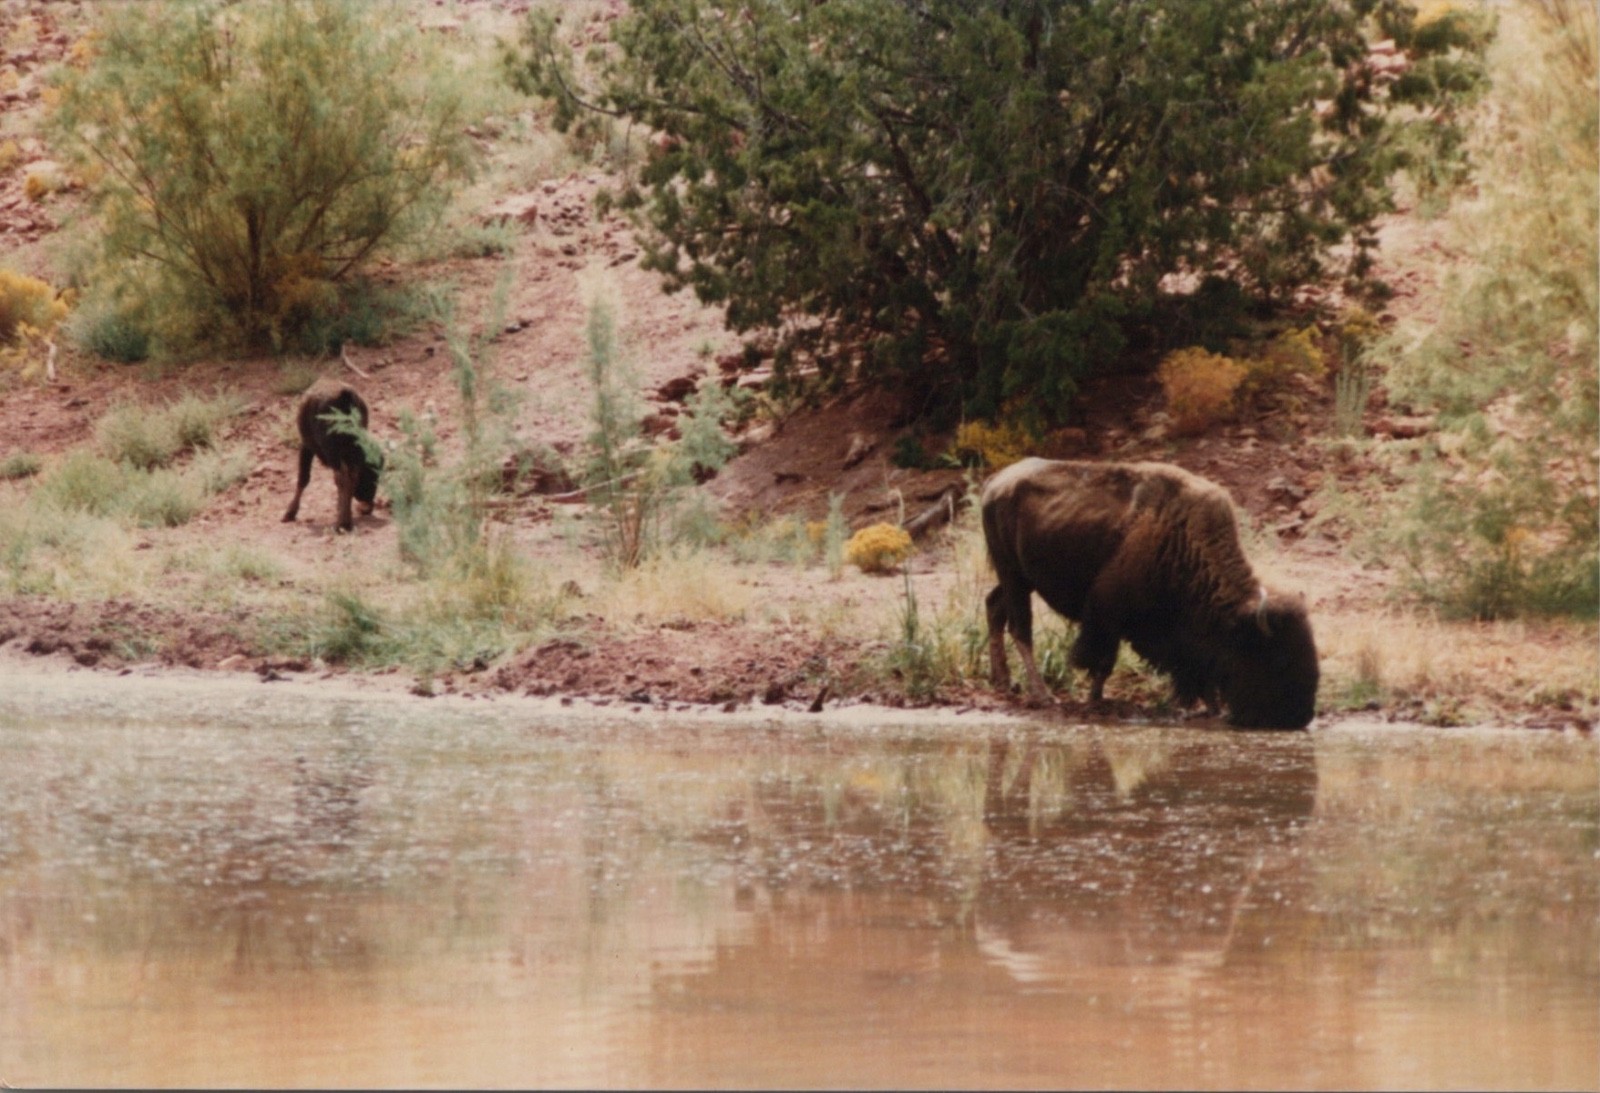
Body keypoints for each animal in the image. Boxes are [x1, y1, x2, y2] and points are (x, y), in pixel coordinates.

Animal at [282, 385, 382, 533]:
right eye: (372, 474)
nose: (367, 507)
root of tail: (345, 396)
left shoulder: (307, 446)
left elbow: (303, 479)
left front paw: (289, 513)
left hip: (331, 452)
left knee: (342, 478)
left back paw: (342, 523)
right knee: (349, 478)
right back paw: (345, 522)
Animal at [981, 458, 1318, 729]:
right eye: (1278, 659)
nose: (1298, 716)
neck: (1184, 543)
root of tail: (994, 484)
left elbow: (1198, 667)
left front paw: (1212, 707)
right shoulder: (1107, 614)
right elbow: (1104, 660)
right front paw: (1095, 698)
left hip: (1018, 579)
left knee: (994, 607)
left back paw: (1004, 681)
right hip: (1013, 576)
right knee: (1020, 629)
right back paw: (1042, 695)